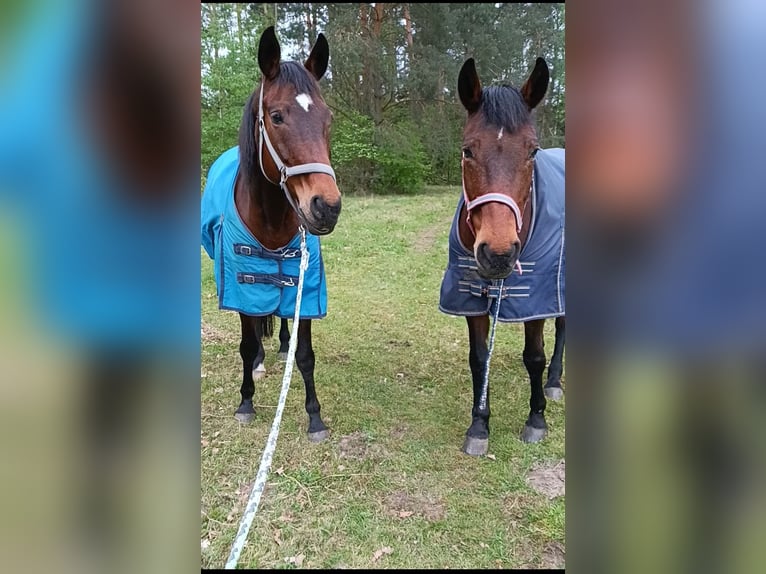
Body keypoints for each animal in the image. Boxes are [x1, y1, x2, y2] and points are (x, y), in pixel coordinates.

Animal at [202, 27, 340, 444]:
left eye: (328, 118)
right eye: (276, 116)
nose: (326, 207)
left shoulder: (305, 287)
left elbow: (305, 354)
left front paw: (315, 417)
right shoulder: (239, 285)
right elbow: (247, 346)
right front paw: (246, 401)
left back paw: (279, 345)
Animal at [440, 56, 568, 456]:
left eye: (532, 151)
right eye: (468, 150)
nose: (498, 254)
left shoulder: (536, 296)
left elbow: (534, 356)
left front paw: (536, 419)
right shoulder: (471, 298)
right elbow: (479, 359)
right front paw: (479, 425)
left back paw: (554, 382)